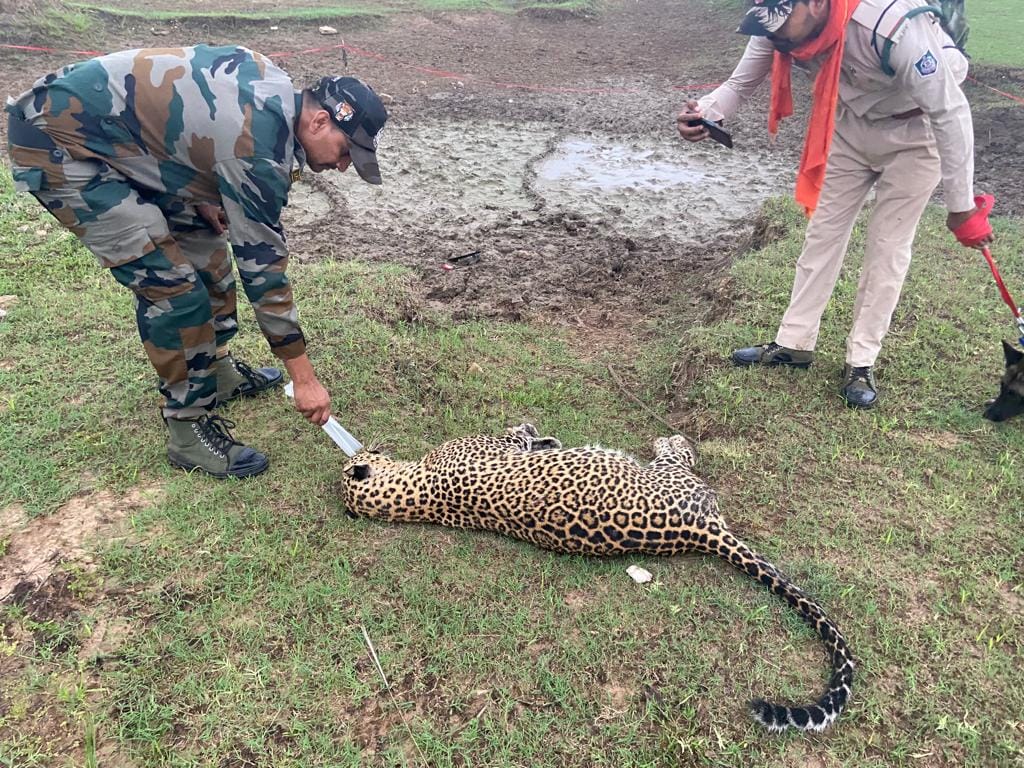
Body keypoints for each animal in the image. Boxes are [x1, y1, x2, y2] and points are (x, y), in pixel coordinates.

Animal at [340, 423, 855, 732]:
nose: (368, 443)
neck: (409, 495)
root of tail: (703, 530)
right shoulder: (494, 446)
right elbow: (514, 436)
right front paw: (532, 432)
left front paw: (543, 438)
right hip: (672, 476)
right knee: (679, 455)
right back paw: (672, 438)